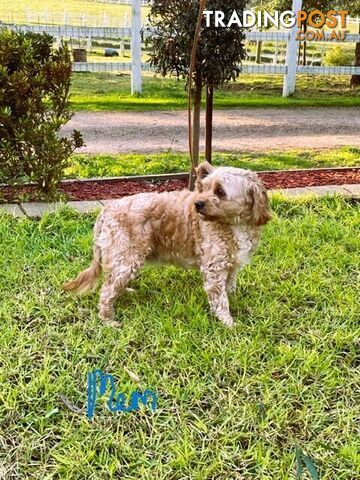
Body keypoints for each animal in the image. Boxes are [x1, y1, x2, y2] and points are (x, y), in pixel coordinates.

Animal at [63, 163, 272, 328]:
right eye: (204, 188)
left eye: (220, 192)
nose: (197, 204)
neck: (233, 224)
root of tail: (107, 209)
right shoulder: (214, 268)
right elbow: (220, 300)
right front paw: (228, 322)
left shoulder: (232, 265)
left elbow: (230, 288)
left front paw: (235, 302)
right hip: (127, 258)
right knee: (106, 290)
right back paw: (108, 319)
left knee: (111, 281)